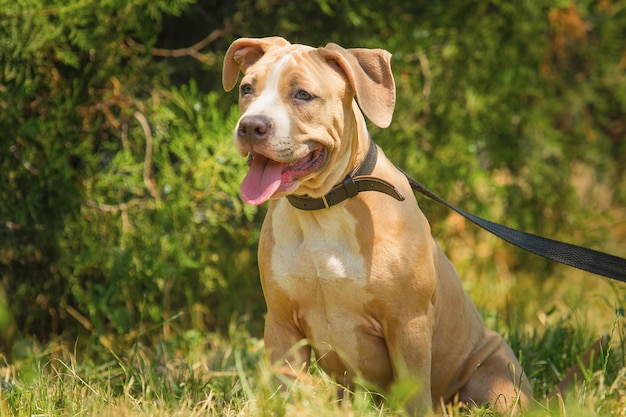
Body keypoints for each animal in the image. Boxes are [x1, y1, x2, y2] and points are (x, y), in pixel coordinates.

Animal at [222, 35, 528, 412]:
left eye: (303, 95)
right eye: (247, 88)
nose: (251, 126)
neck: (322, 209)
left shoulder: (407, 324)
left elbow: (415, 398)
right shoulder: (281, 325)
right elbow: (286, 390)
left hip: (495, 377)